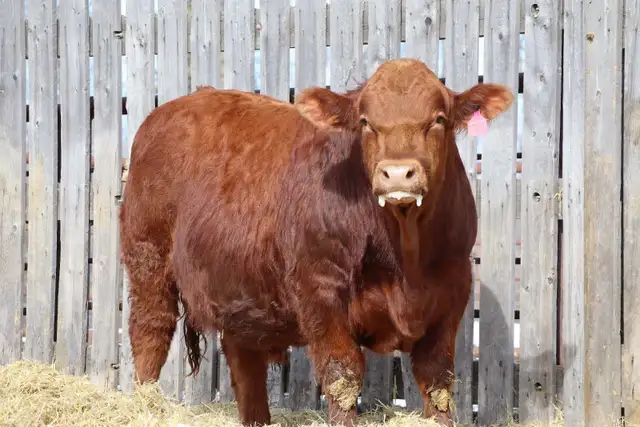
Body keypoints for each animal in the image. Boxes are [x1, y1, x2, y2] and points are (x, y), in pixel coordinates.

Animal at [119, 58, 514, 427]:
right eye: (365, 122)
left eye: (438, 118)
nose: (398, 173)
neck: (406, 257)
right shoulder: (320, 290)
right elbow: (343, 377)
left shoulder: (452, 294)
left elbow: (438, 384)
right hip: (148, 261)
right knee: (150, 333)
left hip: (238, 292)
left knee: (245, 366)